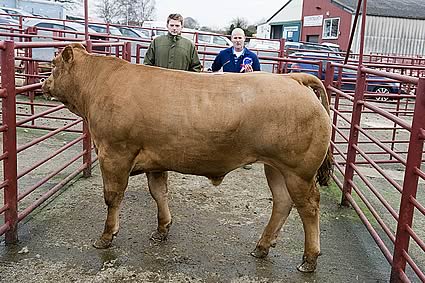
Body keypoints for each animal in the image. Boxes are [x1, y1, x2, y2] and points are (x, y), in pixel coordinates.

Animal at [42, 43, 332, 272]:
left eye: (54, 64)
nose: (44, 83)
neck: (98, 84)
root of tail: (292, 78)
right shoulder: (155, 158)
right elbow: (159, 192)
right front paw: (162, 229)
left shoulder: (114, 154)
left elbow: (112, 198)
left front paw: (106, 237)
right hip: (276, 168)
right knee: (282, 202)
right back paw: (261, 247)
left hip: (298, 171)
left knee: (309, 207)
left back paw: (309, 259)